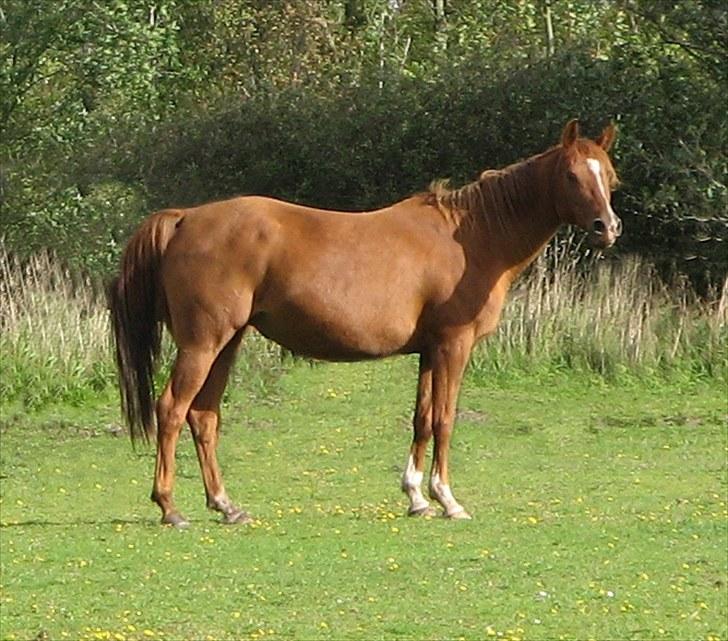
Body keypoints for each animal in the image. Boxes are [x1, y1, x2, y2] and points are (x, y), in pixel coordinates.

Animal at [108, 119, 620, 524]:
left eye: (609, 177)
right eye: (572, 175)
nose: (608, 228)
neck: (472, 238)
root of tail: (186, 218)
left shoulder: (429, 351)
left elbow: (422, 418)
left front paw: (417, 497)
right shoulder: (453, 345)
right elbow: (446, 419)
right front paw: (448, 499)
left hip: (226, 343)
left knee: (204, 416)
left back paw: (225, 504)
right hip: (203, 343)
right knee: (172, 410)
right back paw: (170, 507)